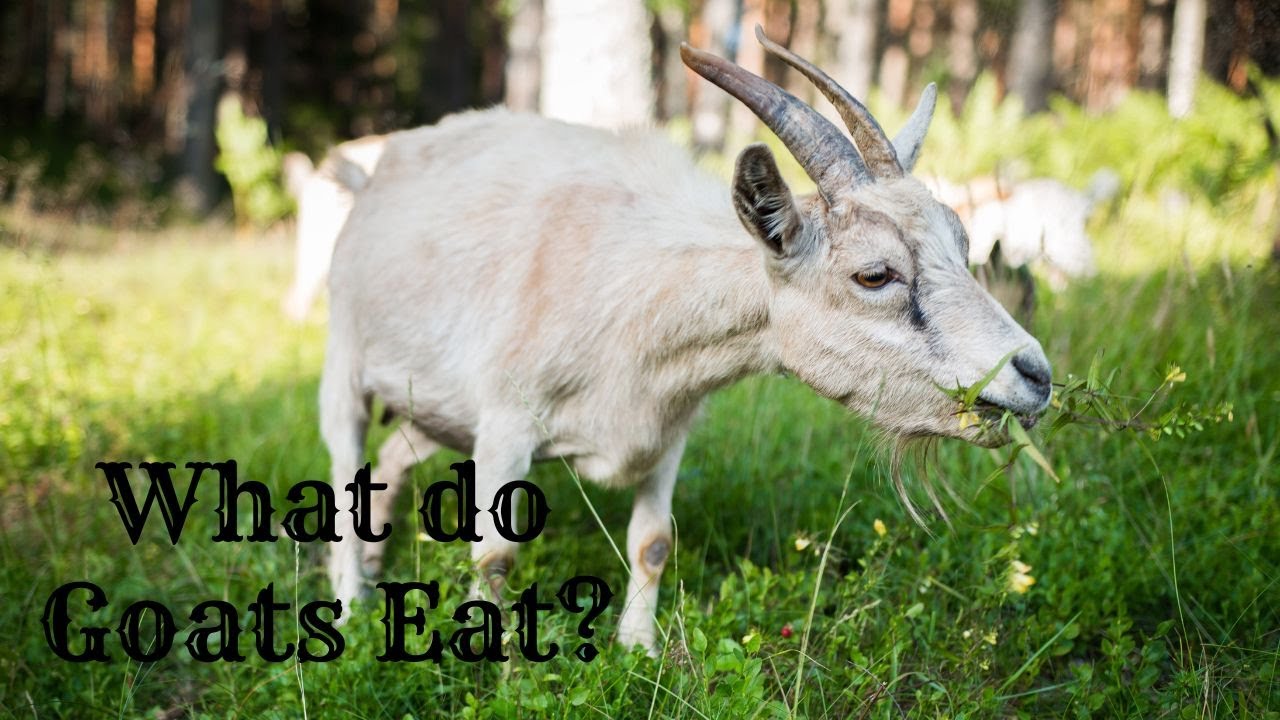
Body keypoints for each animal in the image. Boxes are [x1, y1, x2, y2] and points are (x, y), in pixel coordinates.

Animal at [320, 28, 1054, 655]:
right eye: (874, 274)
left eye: (963, 243)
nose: (1036, 375)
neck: (638, 289)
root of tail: (373, 176)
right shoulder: (505, 422)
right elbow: (495, 556)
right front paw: (500, 673)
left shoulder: (668, 427)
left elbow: (653, 542)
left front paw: (638, 650)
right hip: (345, 362)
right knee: (348, 467)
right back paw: (352, 605)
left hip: (432, 406)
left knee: (394, 457)